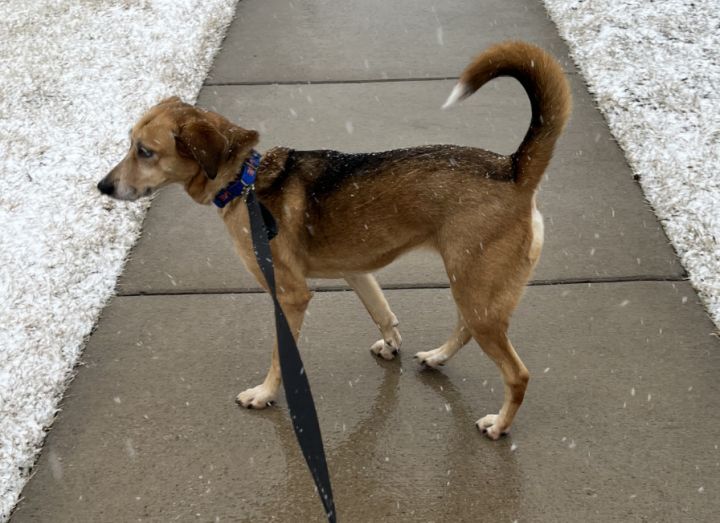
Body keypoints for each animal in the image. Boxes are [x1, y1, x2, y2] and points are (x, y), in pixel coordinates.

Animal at [100, 41, 572, 440]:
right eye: (131, 144)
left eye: (145, 151)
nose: (103, 187)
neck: (244, 182)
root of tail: (513, 169)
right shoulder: (356, 271)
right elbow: (382, 312)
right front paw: (392, 343)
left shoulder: (289, 296)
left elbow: (281, 355)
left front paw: (265, 393)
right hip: (473, 286)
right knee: (465, 328)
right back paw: (436, 357)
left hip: (476, 289)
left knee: (516, 373)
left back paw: (499, 424)